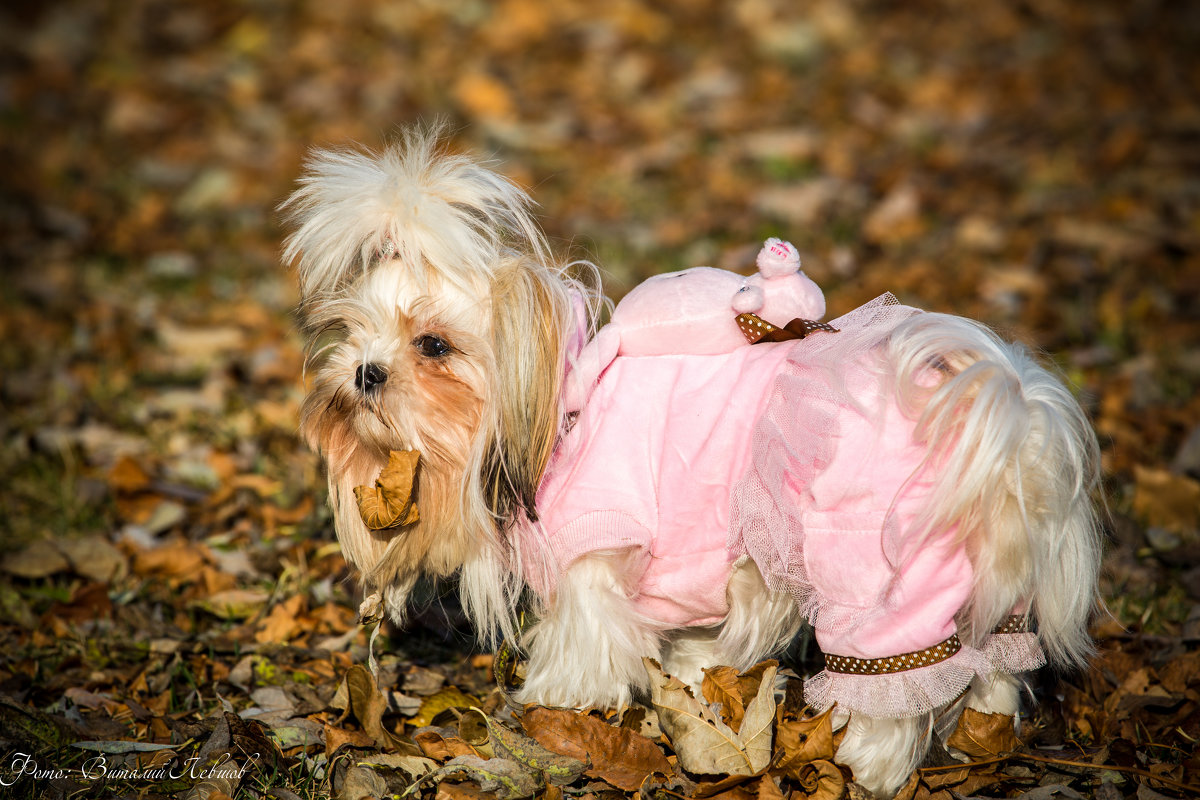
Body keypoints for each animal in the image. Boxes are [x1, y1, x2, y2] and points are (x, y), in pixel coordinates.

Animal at [283, 128, 1104, 796]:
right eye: (349, 333)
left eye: (433, 347)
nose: (363, 372)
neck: (555, 419)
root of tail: (1004, 423)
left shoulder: (593, 560)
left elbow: (583, 654)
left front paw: (549, 708)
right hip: (976, 590)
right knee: (997, 668)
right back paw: (980, 739)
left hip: (870, 582)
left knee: (898, 692)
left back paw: (865, 762)